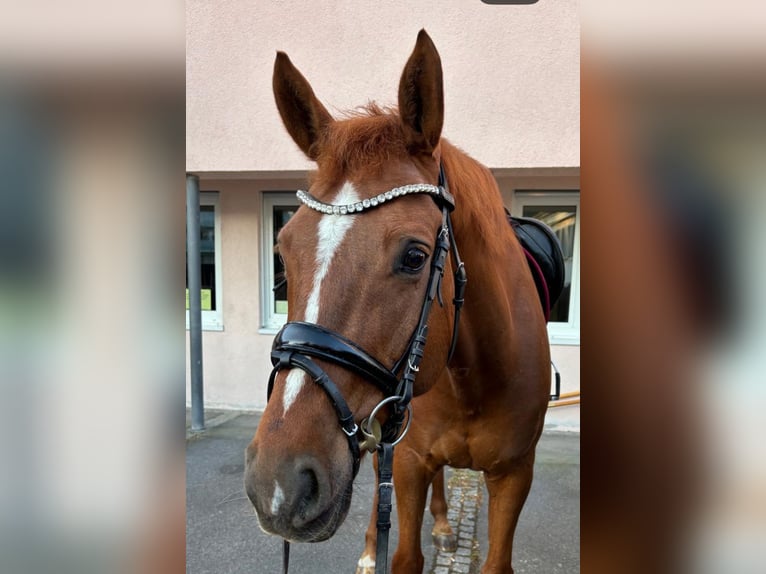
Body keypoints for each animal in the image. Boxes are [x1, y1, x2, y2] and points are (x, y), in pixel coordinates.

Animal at [244, 30, 550, 574]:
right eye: (282, 249)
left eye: (415, 256)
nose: (278, 486)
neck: (472, 376)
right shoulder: (407, 462)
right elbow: (402, 550)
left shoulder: (515, 474)